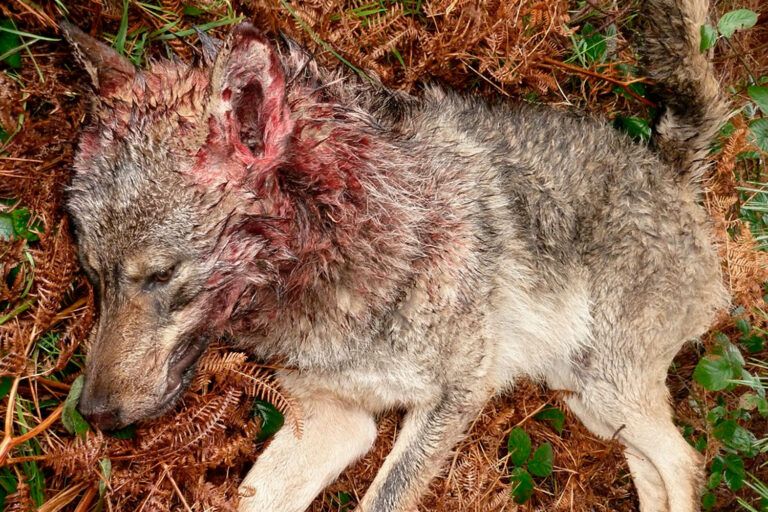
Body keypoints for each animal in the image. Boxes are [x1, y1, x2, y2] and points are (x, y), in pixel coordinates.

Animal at [62, 0, 729, 510]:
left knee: (685, 463)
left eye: (160, 274)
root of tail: (671, 173)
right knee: (660, 470)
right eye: (93, 275)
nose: (94, 414)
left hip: (607, 389)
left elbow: (383, 497)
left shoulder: (457, 396)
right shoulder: (333, 419)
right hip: (592, 404)